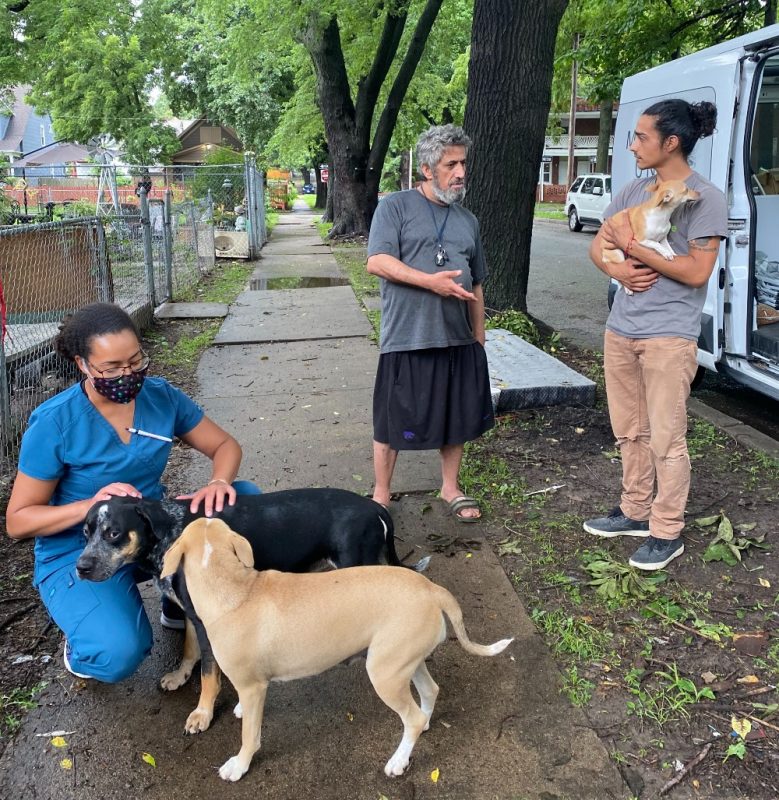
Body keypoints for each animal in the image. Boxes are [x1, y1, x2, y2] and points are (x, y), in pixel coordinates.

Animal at [161, 516, 516, 784]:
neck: (234, 587)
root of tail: (433, 589)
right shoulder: (253, 687)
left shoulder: (251, 687)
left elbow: (250, 735)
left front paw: (239, 765)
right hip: (404, 662)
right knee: (429, 692)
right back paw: (418, 733)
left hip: (385, 674)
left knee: (412, 717)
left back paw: (398, 761)